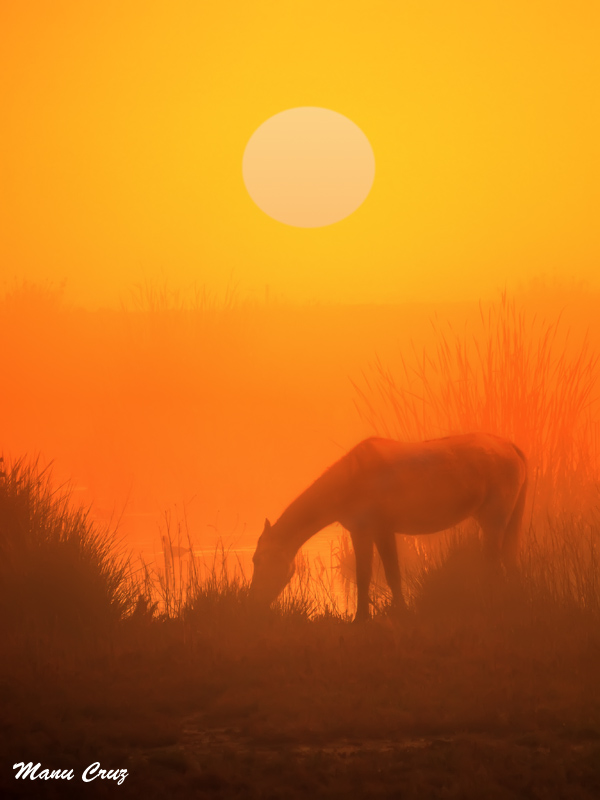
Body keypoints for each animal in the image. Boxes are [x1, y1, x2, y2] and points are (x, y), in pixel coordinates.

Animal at [251, 434, 528, 620]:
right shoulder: (363, 531)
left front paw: (375, 617)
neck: (350, 479)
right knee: (511, 561)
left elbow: (383, 574)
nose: (252, 599)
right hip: (510, 519)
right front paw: (371, 616)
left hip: (493, 518)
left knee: (493, 564)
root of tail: (511, 448)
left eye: (257, 560)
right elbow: (372, 575)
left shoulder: (380, 529)